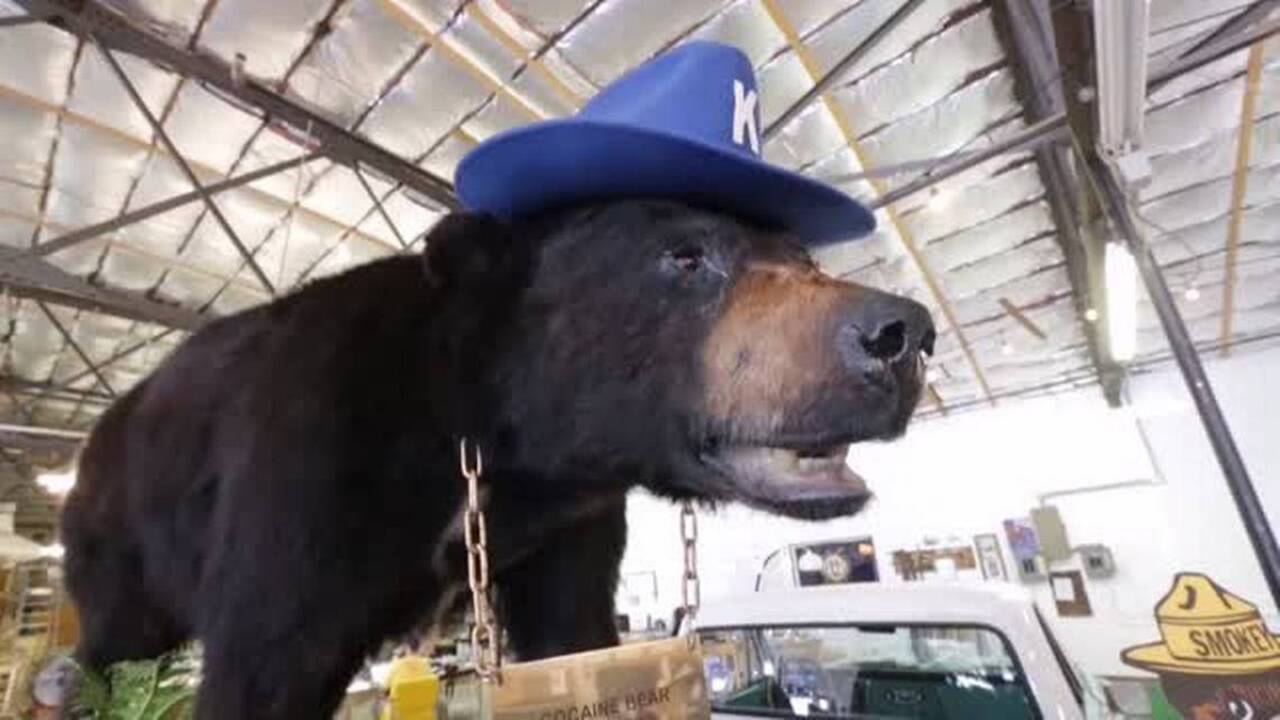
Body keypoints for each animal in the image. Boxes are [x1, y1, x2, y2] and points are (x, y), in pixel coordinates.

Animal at [60, 200, 935, 718]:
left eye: (804, 259)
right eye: (686, 257)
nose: (901, 333)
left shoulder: (570, 521)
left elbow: (575, 629)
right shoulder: (314, 459)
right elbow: (266, 656)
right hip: (119, 534)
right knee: (118, 636)